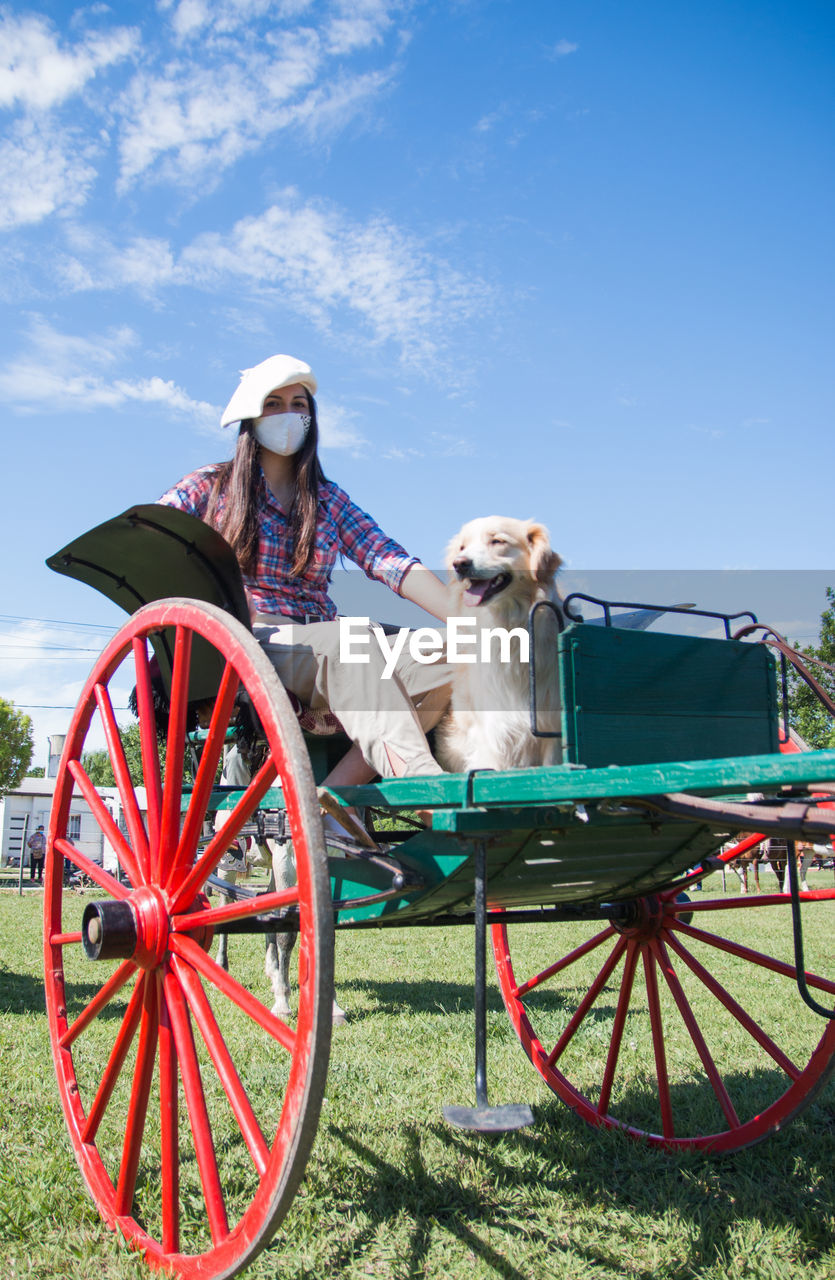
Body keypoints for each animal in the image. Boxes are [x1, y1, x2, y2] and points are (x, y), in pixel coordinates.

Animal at [432, 517, 563, 768]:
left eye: (497, 541)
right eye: (462, 547)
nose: (459, 564)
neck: (509, 628)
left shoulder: (552, 728)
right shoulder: (496, 733)